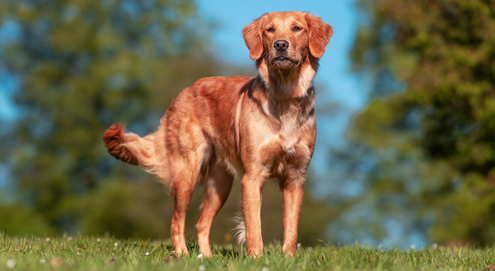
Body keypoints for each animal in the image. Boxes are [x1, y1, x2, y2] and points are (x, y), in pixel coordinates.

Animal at [102, 11, 332, 258]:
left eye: (297, 28)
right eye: (270, 30)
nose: (280, 44)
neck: (285, 95)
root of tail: (183, 93)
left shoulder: (295, 177)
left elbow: (291, 228)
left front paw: (288, 259)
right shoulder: (253, 176)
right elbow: (254, 227)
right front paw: (256, 258)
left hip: (220, 183)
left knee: (201, 223)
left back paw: (207, 257)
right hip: (187, 172)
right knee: (176, 221)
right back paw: (183, 255)